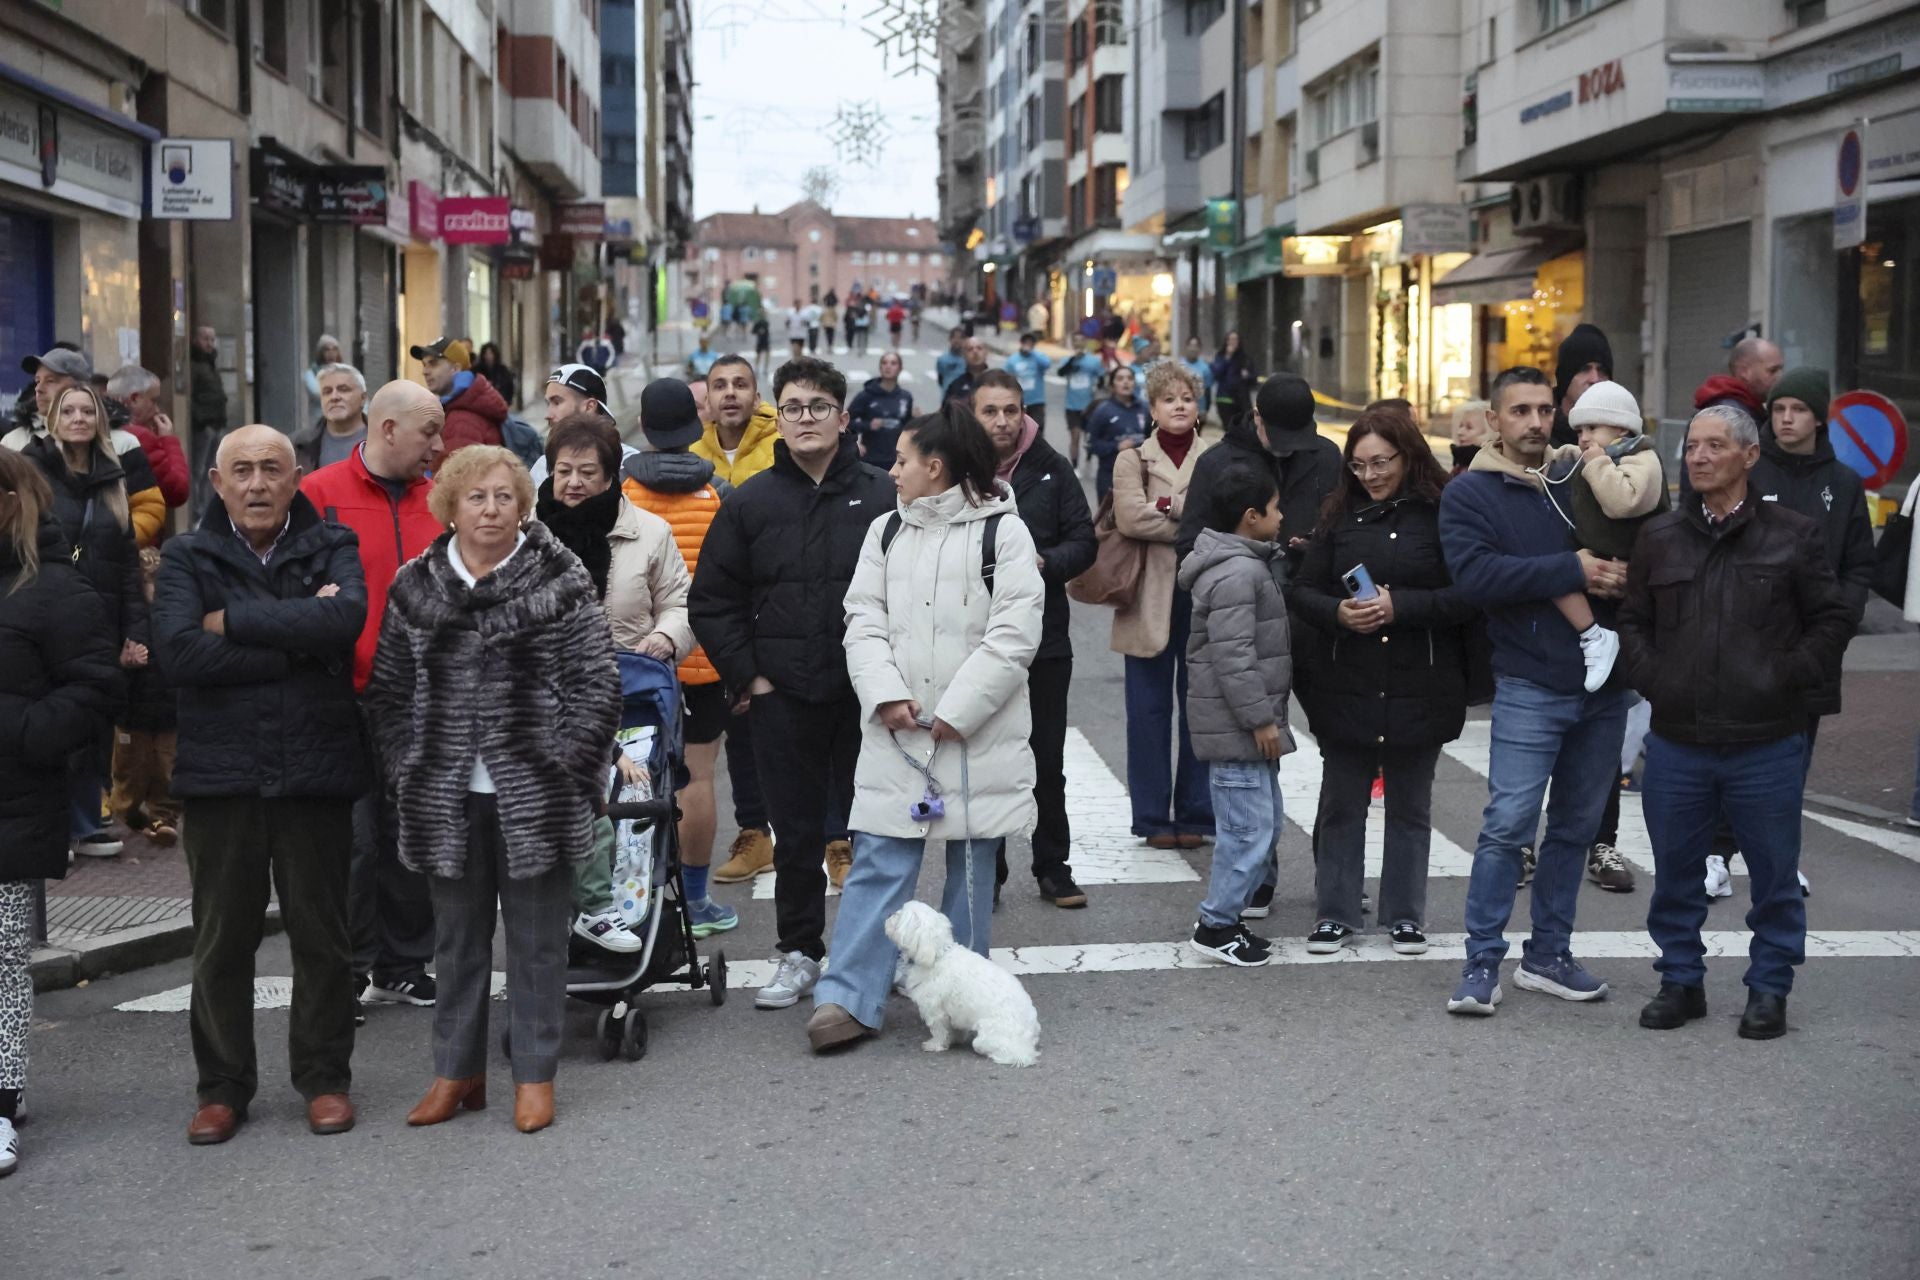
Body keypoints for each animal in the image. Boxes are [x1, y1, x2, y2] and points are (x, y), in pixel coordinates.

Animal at [879, 901, 1036, 1074]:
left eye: (899, 915)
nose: (889, 914)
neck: (937, 955)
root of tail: (1026, 1046)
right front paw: (955, 1039)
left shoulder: (935, 1009)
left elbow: (939, 1030)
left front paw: (936, 1045)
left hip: (986, 1037)